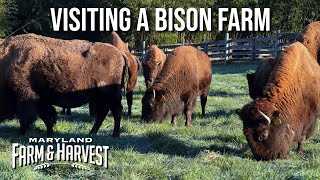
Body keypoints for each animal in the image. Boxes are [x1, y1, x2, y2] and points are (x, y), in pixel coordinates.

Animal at [0, 33, 129, 137]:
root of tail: (120, 54)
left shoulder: (26, 97)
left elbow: (27, 116)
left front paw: (21, 133)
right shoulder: (41, 100)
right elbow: (47, 116)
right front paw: (50, 132)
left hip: (109, 95)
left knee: (115, 111)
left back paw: (115, 135)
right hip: (101, 97)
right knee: (104, 113)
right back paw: (92, 133)